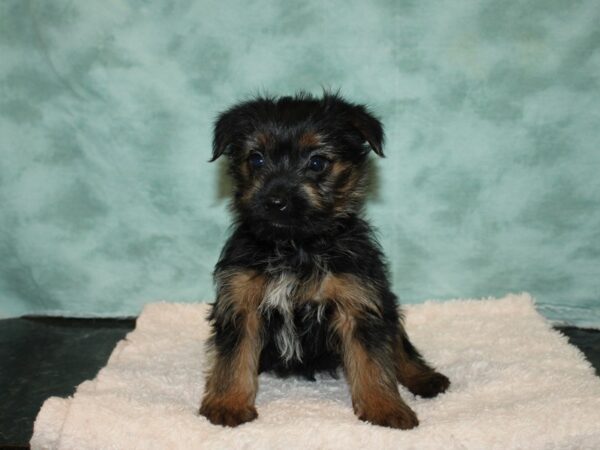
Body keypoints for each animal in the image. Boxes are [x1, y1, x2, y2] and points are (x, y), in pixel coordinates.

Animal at [199, 92, 448, 428]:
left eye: (317, 162)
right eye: (256, 159)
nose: (275, 201)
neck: (296, 245)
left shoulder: (358, 301)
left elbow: (372, 362)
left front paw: (384, 407)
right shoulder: (241, 302)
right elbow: (234, 357)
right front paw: (228, 402)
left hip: (386, 303)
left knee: (399, 346)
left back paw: (424, 377)